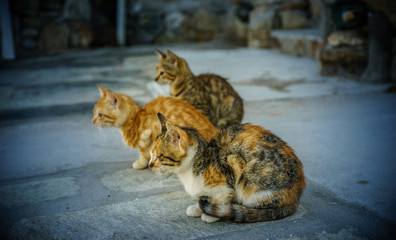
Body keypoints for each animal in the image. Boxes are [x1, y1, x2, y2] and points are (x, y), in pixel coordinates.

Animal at [148, 113, 306, 223]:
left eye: (159, 156)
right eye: (150, 154)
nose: (149, 165)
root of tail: (296, 196)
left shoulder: (230, 167)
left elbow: (221, 198)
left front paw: (211, 215)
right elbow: (204, 197)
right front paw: (198, 208)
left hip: (253, 182)